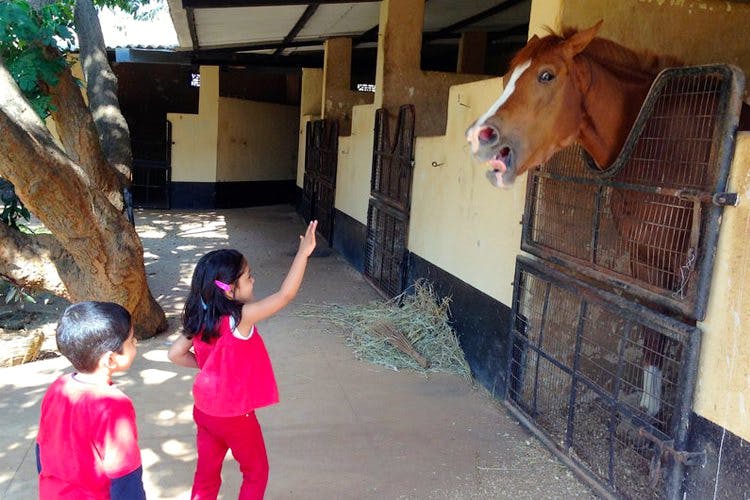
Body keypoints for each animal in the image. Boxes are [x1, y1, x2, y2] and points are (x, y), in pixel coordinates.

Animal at [468, 22, 732, 422]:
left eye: (547, 75)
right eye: (505, 77)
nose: (479, 136)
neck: (656, 141)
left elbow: (670, 333)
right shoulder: (643, 255)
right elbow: (652, 334)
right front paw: (648, 411)